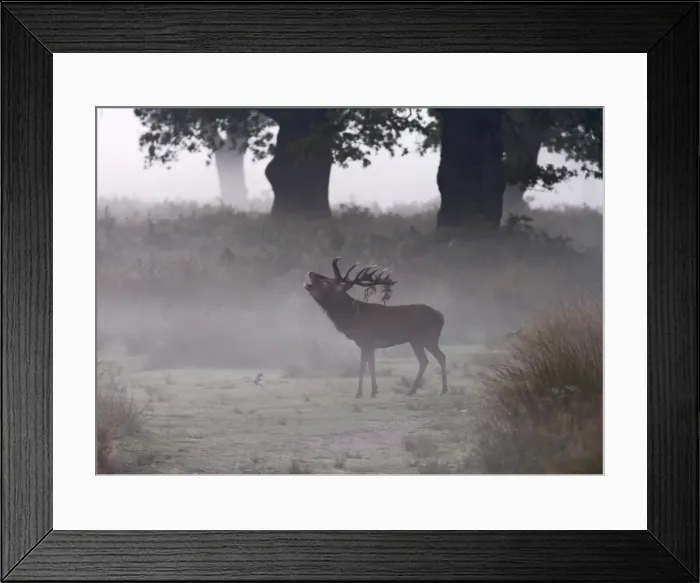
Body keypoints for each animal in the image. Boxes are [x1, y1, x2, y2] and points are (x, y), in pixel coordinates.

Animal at [303, 257, 448, 399]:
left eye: (327, 282)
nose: (310, 272)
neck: (353, 318)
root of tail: (441, 316)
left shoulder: (366, 340)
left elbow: (362, 366)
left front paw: (358, 393)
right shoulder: (370, 346)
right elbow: (371, 366)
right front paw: (374, 391)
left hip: (428, 337)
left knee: (439, 357)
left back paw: (441, 390)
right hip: (417, 341)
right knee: (426, 360)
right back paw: (414, 390)